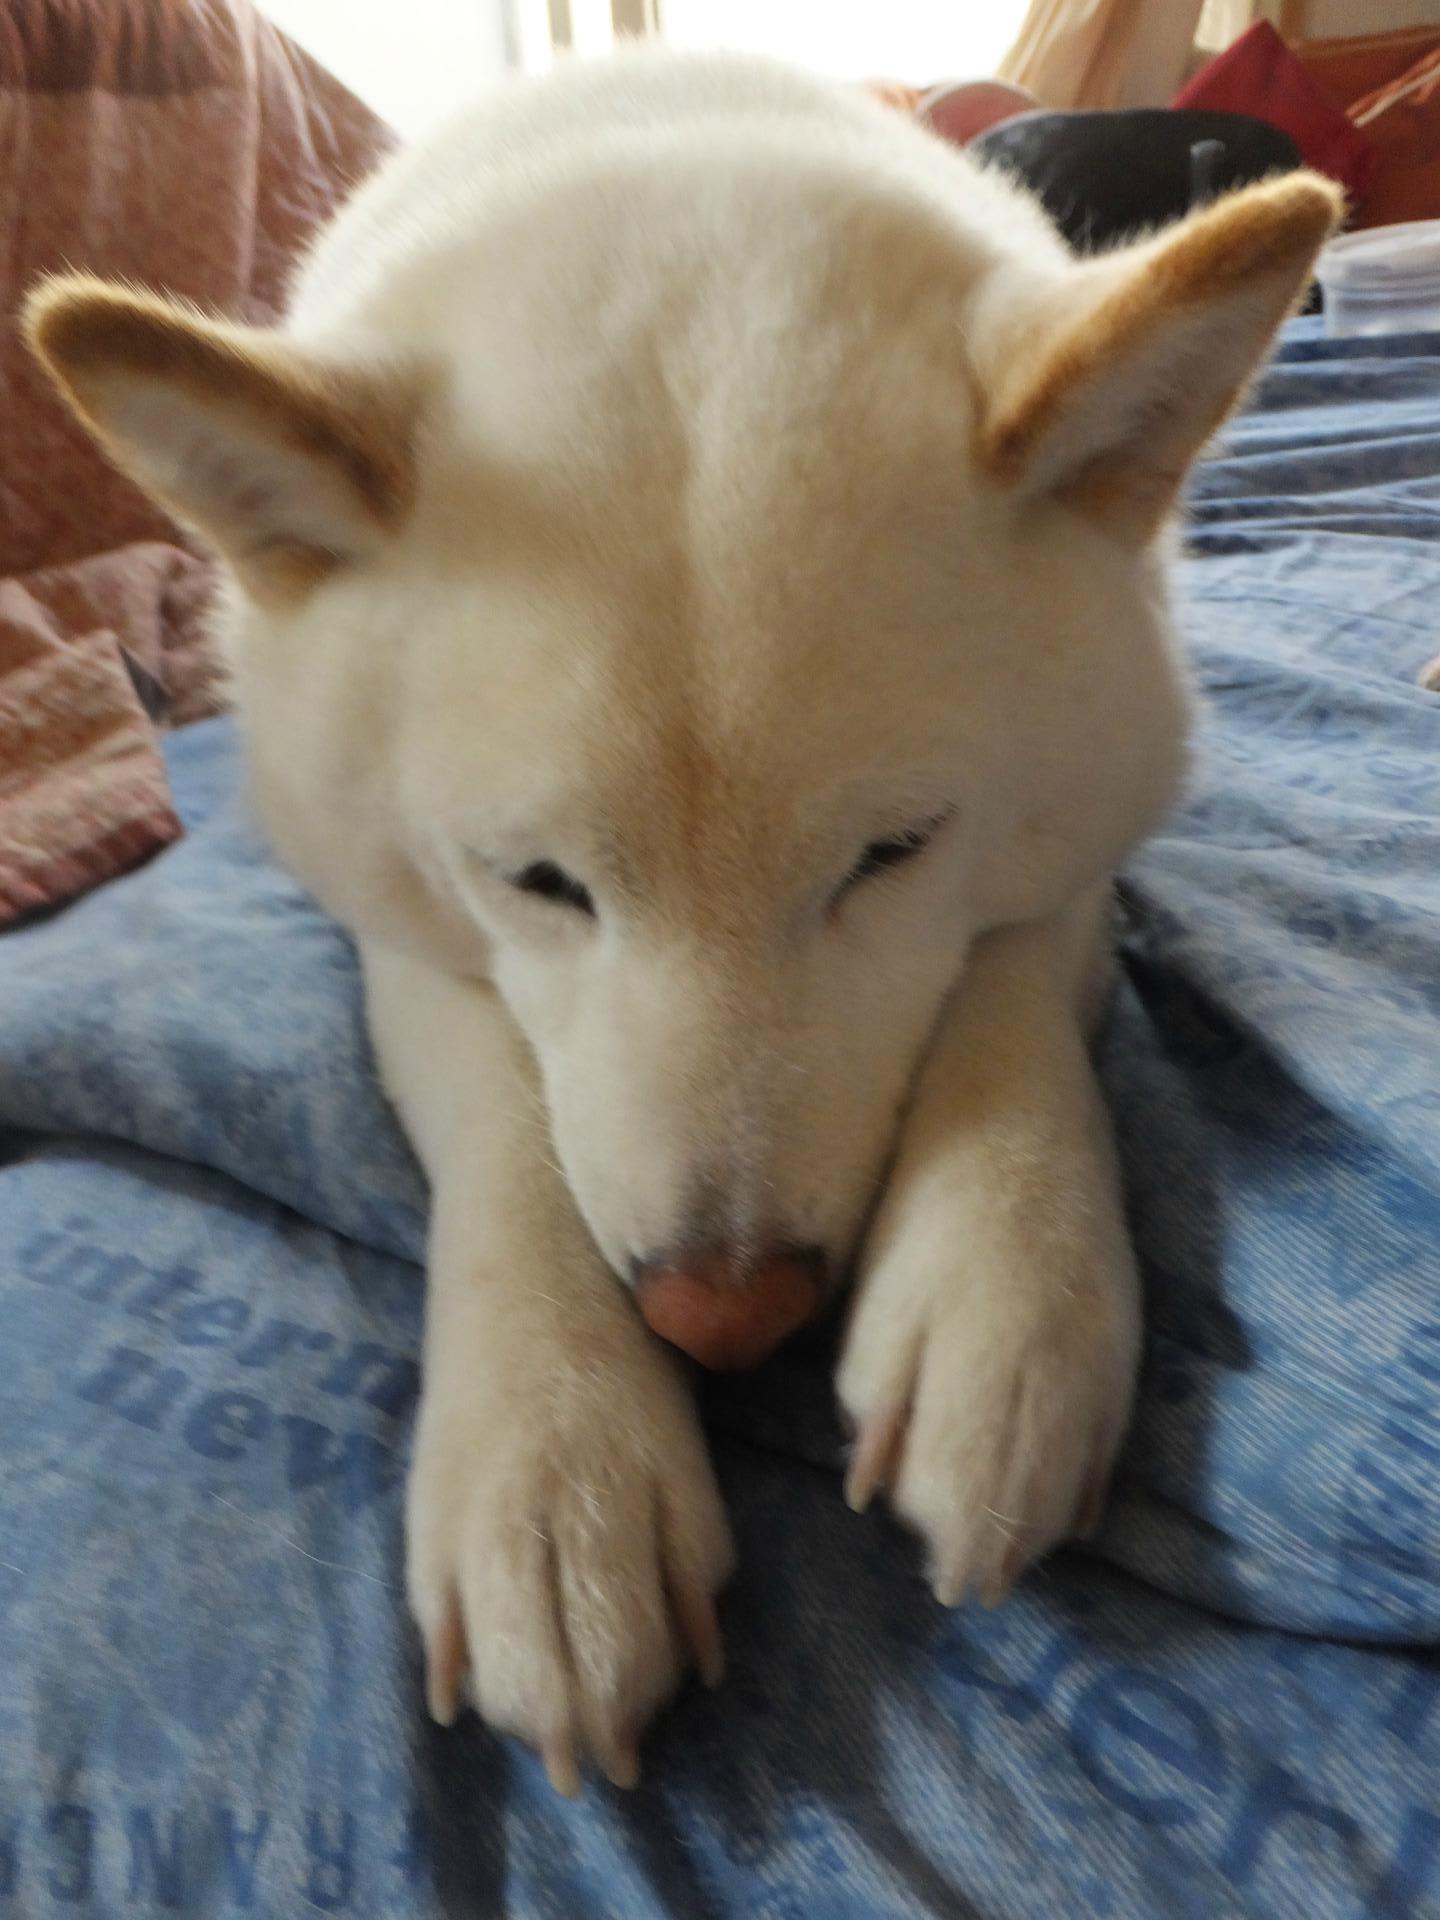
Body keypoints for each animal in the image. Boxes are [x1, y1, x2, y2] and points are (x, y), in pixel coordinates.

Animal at [28, 45, 1351, 1789]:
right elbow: (507, 1122)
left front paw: (1005, 1280)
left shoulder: (1088, 811)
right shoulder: (393, 914)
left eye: (893, 852)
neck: (662, 173)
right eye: (540, 884)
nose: (727, 1319)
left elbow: (1010, 967)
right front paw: (553, 1451)